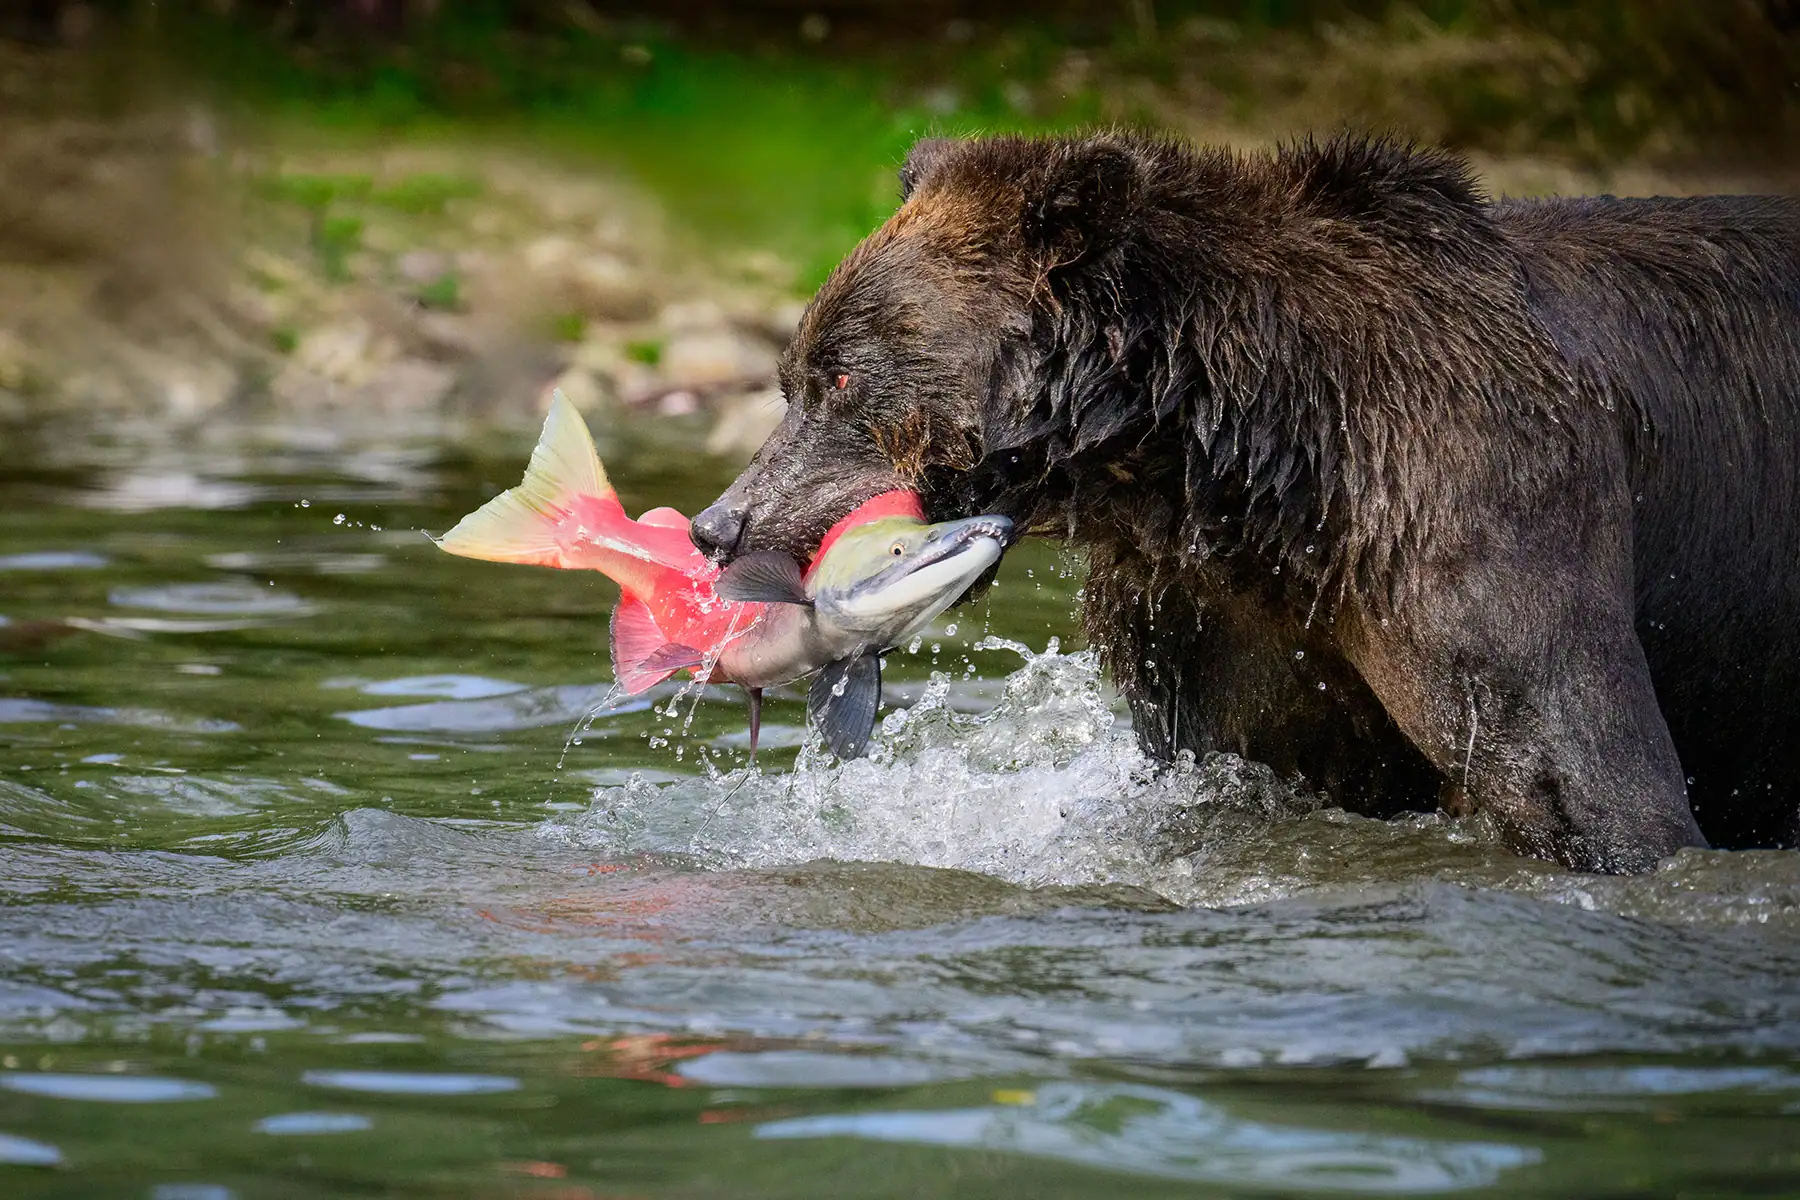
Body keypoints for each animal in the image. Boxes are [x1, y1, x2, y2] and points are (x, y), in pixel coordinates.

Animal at [689, 131, 1800, 875]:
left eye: (838, 377)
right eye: (791, 373)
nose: (716, 526)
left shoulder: (1480, 507)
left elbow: (1590, 789)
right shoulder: (1223, 615)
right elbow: (1250, 766)